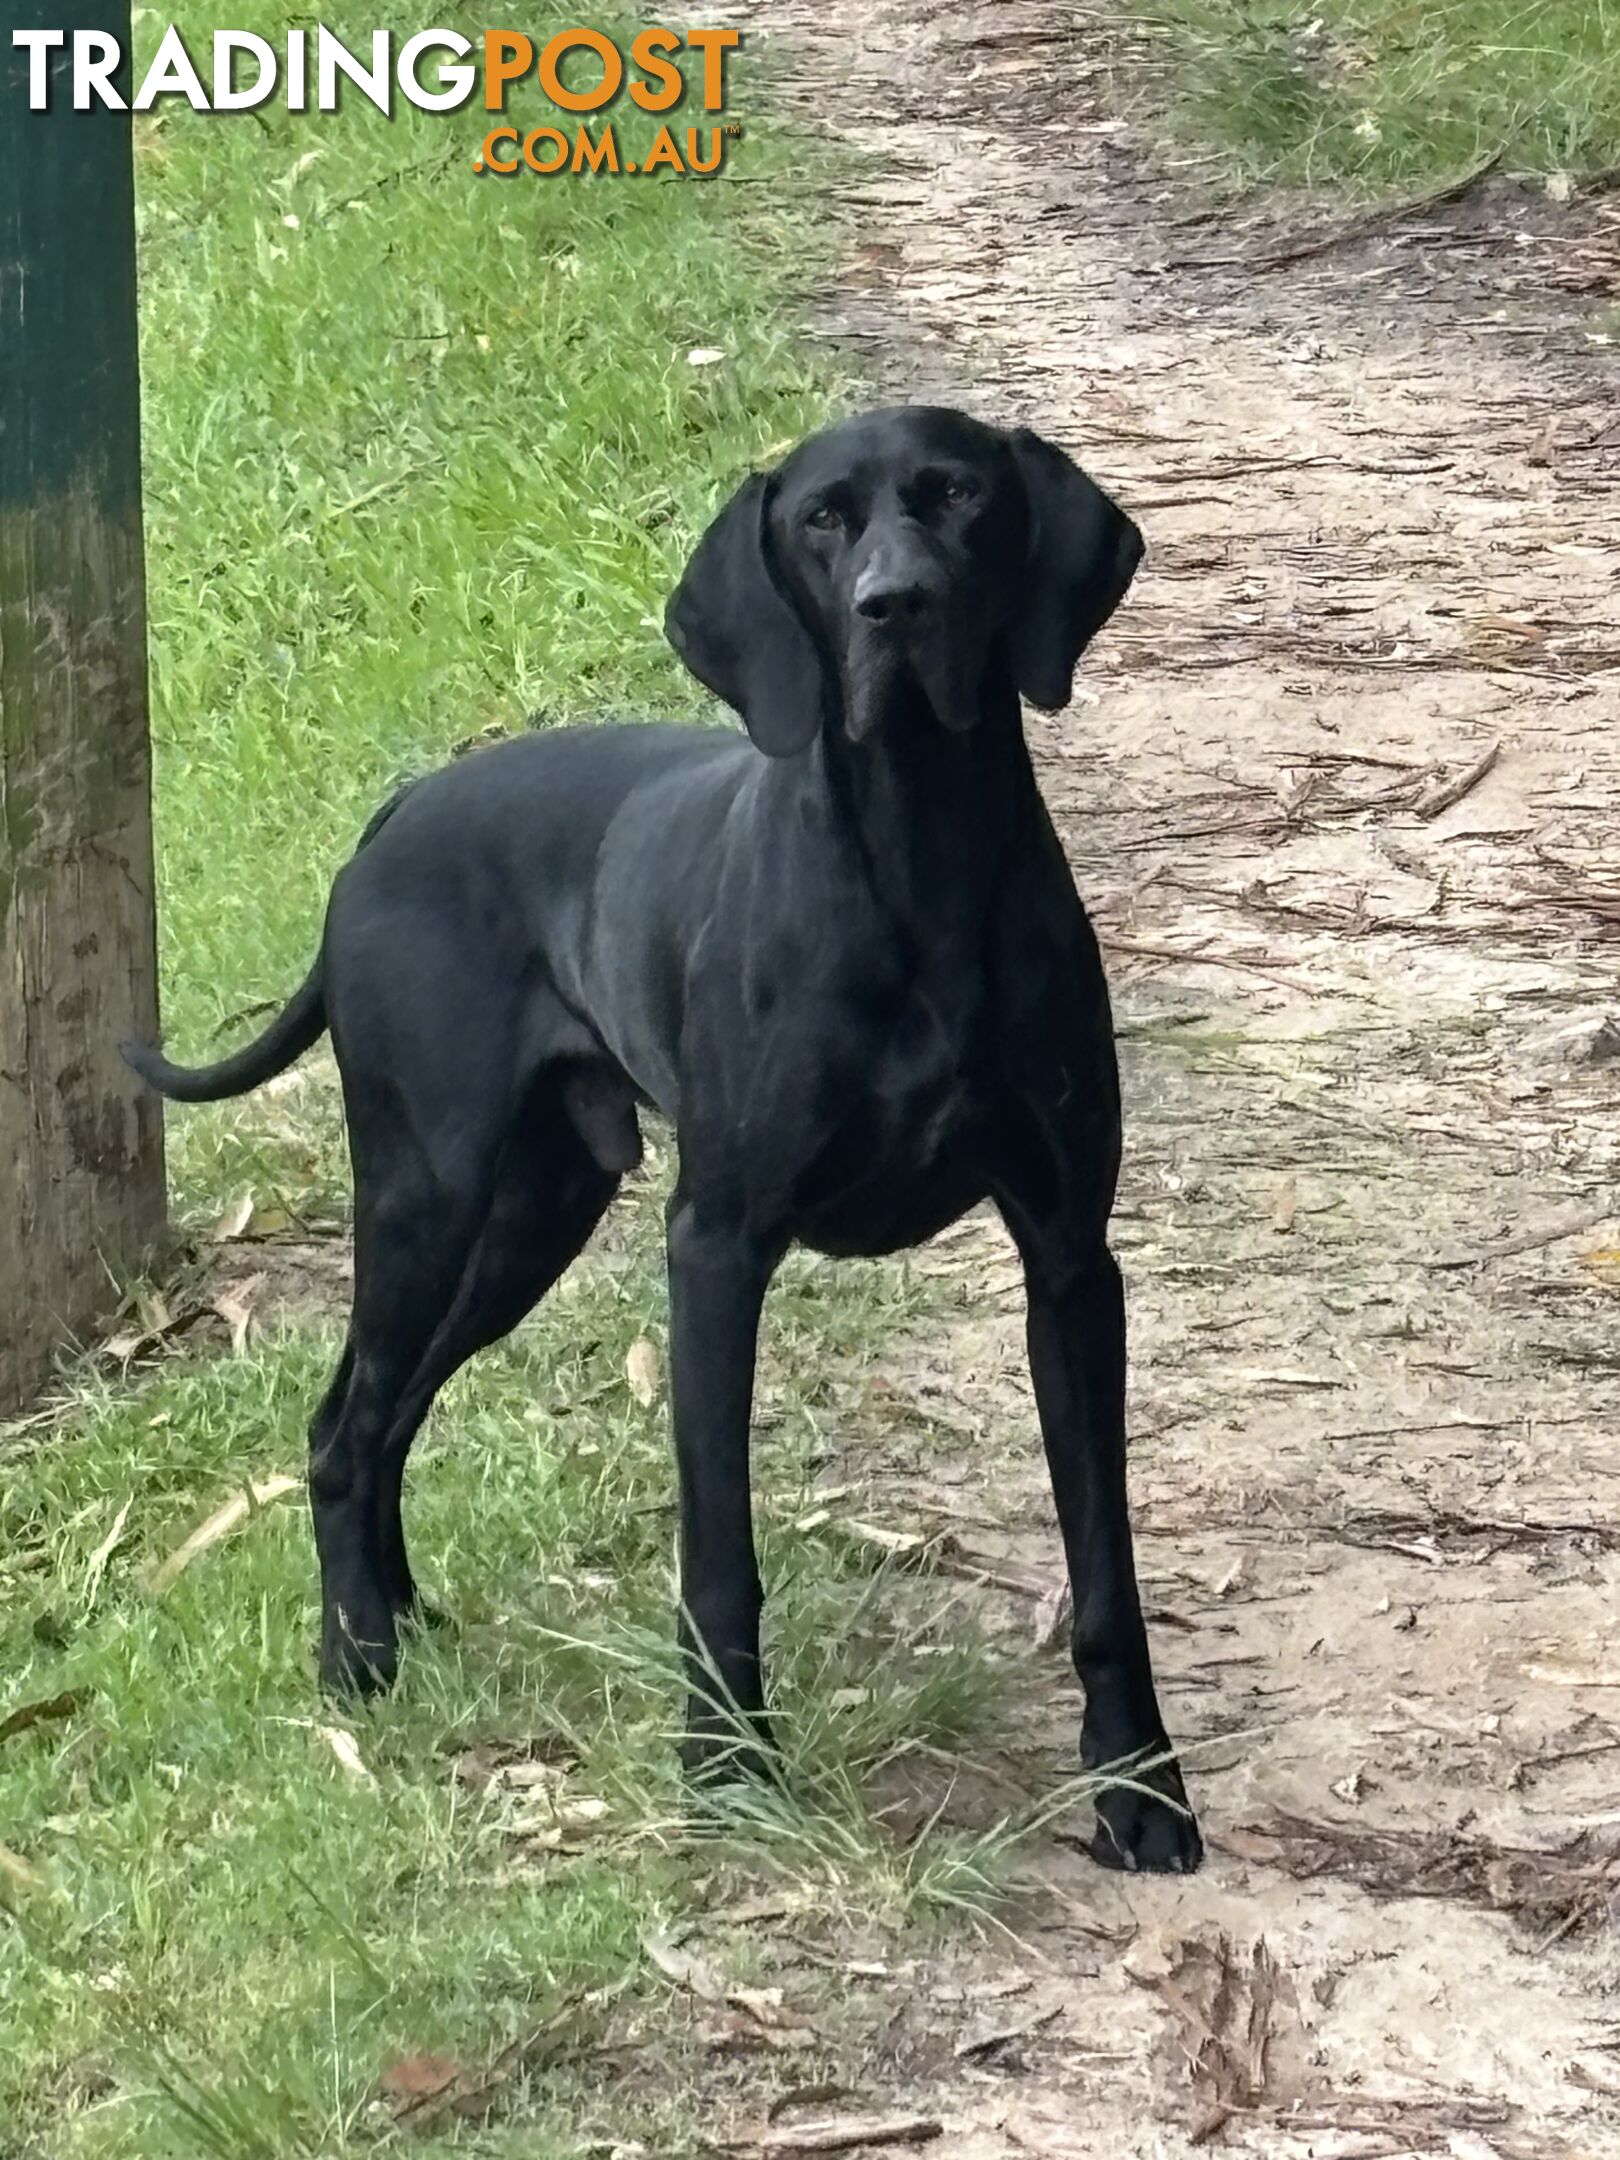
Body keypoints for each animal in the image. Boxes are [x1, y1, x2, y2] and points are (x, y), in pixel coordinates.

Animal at [130, 408, 1209, 1874]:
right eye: (821, 521)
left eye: (961, 497)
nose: (896, 604)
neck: (916, 859)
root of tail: (394, 817)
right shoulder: (716, 1249)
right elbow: (718, 1555)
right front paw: (729, 1767)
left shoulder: (1070, 1263)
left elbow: (1106, 1564)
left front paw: (1141, 1788)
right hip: (427, 1193)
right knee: (347, 1423)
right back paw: (357, 1662)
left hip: (531, 1215)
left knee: (388, 1414)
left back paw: (404, 1627)